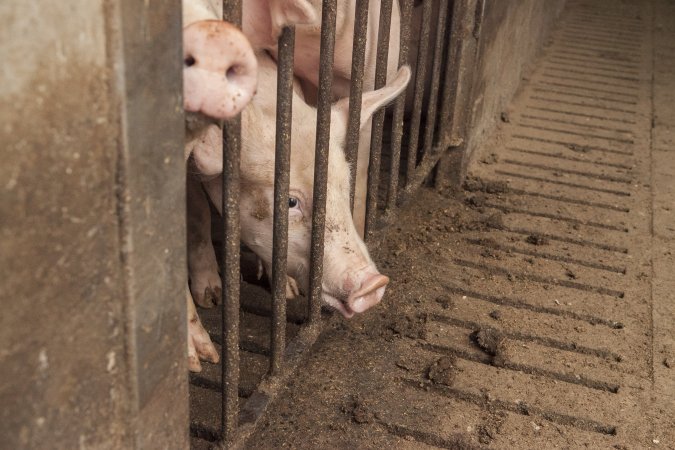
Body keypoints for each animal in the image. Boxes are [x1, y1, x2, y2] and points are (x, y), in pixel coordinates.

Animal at [193, 51, 410, 320]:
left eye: (345, 186)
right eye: (290, 201)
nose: (374, 283)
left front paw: (289, 292)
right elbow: (198, 216)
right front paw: (211, 299)